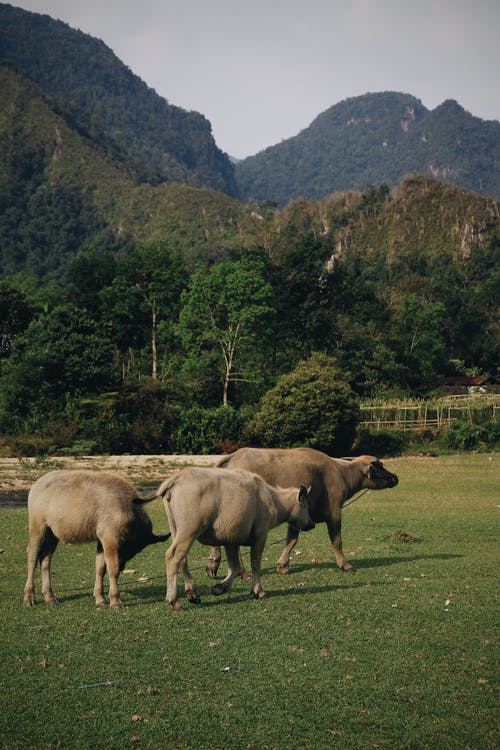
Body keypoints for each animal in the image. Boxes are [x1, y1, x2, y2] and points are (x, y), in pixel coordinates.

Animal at [23, 472, 170, 612]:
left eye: (136, 549)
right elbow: (112, 569)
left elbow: (100, 568)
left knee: (45, 560)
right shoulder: (109, 538)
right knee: (32, 558)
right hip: (37, 529)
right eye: (130, 547)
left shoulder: (101, 540)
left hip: (52, 534)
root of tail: (36, 485)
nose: (123, 566)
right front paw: (115, 601)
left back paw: (50, 597)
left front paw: (100, 598)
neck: (126, 508)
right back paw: (29, 597)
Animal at [154, 468, 314, 612]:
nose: (311, 524)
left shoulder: (230, 540)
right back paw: (174, 600)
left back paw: (192, 593)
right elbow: (255, 563)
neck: (273, 500)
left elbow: (235, 567)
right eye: (306, 505)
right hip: (189, 530)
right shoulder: (260, 535)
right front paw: (258, 591)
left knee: (182, 559)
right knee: (173, 556)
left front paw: (220, 588)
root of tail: (176, 478)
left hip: (176, 529)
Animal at [207, 450, 398, 580]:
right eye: (380, 465)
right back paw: (243, 572)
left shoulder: (298, 516)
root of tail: (232, 457)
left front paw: (283, 565)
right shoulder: (334, 513)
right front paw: (345, 564)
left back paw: (213, 564)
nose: (395, 478)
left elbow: (291, 540)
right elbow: (337, 540)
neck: (342, 474)